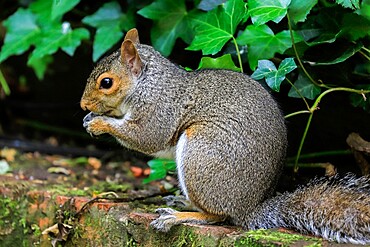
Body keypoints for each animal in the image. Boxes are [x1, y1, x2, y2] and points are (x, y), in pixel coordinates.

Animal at [81, 28, 370, 244]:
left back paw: (177, 216)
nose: (83, 106)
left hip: (200, 153)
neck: (147, 85)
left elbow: (145, 137)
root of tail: (248, 208)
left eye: (106, 83)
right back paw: (183, 202)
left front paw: (99, 123)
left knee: (218, 216)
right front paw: (90, 119)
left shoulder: (159, 110)